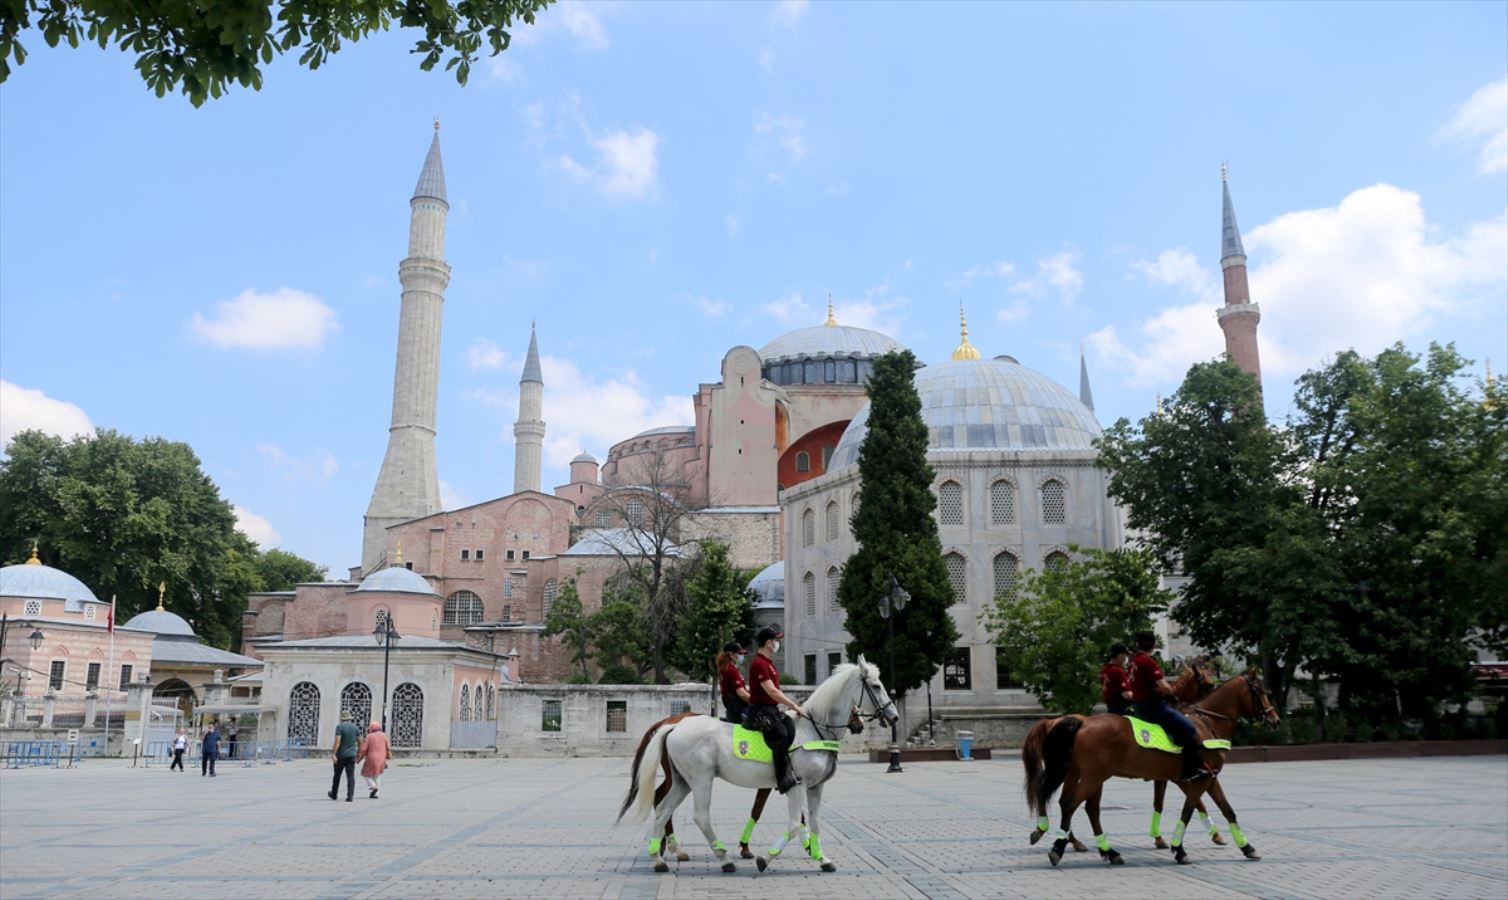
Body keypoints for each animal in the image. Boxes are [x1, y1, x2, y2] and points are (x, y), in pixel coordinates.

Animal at [615, 657, 892, 874]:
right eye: (876, 686)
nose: (894, 716)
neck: (813, 730)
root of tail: (674, 724)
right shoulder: (796, 785)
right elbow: (794, 824)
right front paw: (766, 858)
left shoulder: (814, 788)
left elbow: (813, 823)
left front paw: (821, 857)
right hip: (701, 779)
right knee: (700, 816)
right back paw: (723, 858)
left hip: (683, 781)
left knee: (663, 808)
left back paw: (659, 857)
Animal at [1025, 666, 1272, 862]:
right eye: (1260, 691)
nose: (1274, 718)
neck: (1205, 723)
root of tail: (1080, 723)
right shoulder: (1196, 778)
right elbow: (1189, 809)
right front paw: (1179, 847)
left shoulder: (1202, 778)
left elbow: (1225, 809)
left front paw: (1246, 846)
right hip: (1092, 776)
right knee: (1070, 804)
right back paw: (1059, 845)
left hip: (1083, 774)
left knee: (1083, 807)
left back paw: (1102, 849)